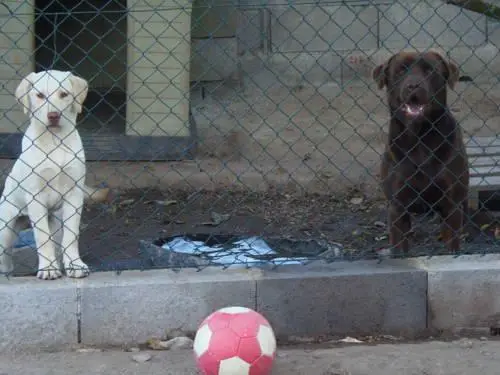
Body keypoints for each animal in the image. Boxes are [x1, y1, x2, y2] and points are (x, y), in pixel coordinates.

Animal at [0, 70, 104, 280]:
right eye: (40, 95)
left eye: (64, 94)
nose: (53, 115)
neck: (55, 140)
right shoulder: (35, 197)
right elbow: (42, 238)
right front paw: (48, 268)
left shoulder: (74, 195)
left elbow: (71, 236)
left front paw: (75, 265)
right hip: (6, 227)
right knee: (5, 256)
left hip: (56, 221)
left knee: (58, 243)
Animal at [374, 50, 470, 254]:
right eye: (401, 70)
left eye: (429, 70)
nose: (413, 86)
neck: (419, 138)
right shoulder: (397, 207)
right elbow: (399, 248)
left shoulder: (452, 205)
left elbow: (452, 245)